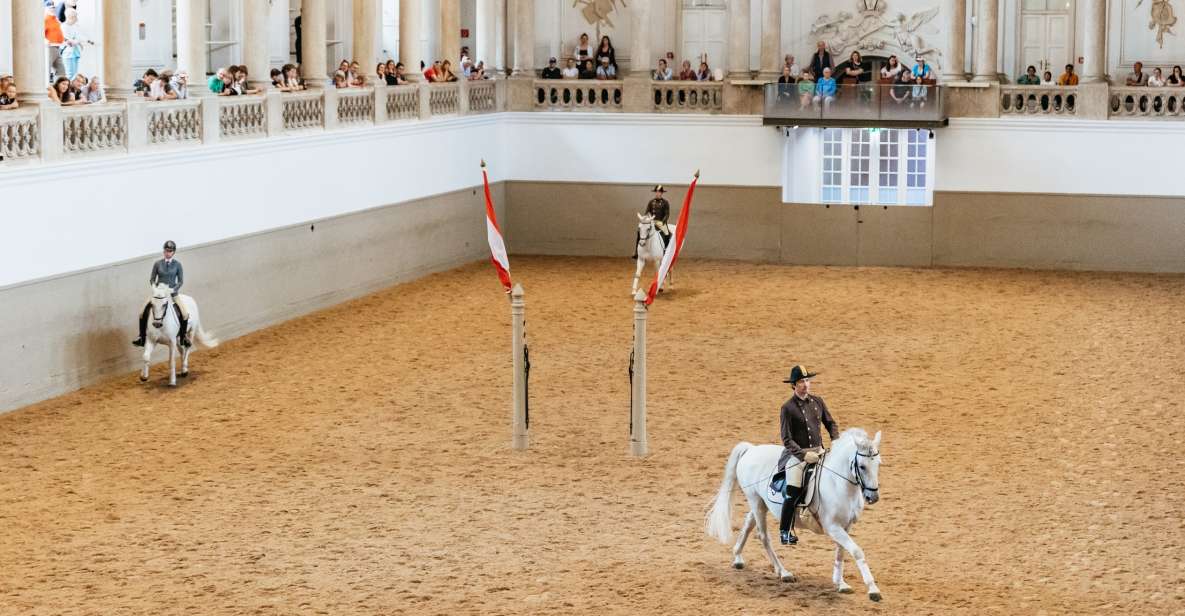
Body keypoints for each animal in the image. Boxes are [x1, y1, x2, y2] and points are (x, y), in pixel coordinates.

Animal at [701, 428, 881, 601]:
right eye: (862, 466)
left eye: (878, 464)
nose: (873, 497)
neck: (838, 483)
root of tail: (751, 449)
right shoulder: (833, 527)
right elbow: (856, 551)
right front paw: (873, 590)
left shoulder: (846, 526)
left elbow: (841, 551)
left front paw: (840, 583)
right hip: (755, 500)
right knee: (763, 536)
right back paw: (783, 572)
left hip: (760, 503)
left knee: (748, 522)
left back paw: (737, 557)